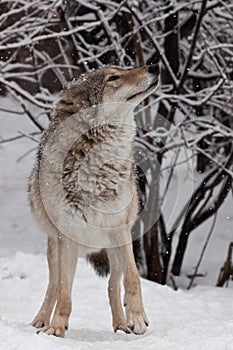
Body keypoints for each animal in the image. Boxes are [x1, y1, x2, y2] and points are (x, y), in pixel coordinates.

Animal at [28, 64, 160, 338]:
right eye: (113, 78)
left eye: (123, 68)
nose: (155, 65)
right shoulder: (67, 236)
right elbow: (64, 293)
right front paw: (56, 328)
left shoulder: (120, 229)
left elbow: (133, 278)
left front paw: (137, 317)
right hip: (55, 249)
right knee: (54, 285)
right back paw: (41, 320)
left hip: (113, 247)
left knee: (113, 284)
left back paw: (121, 325)